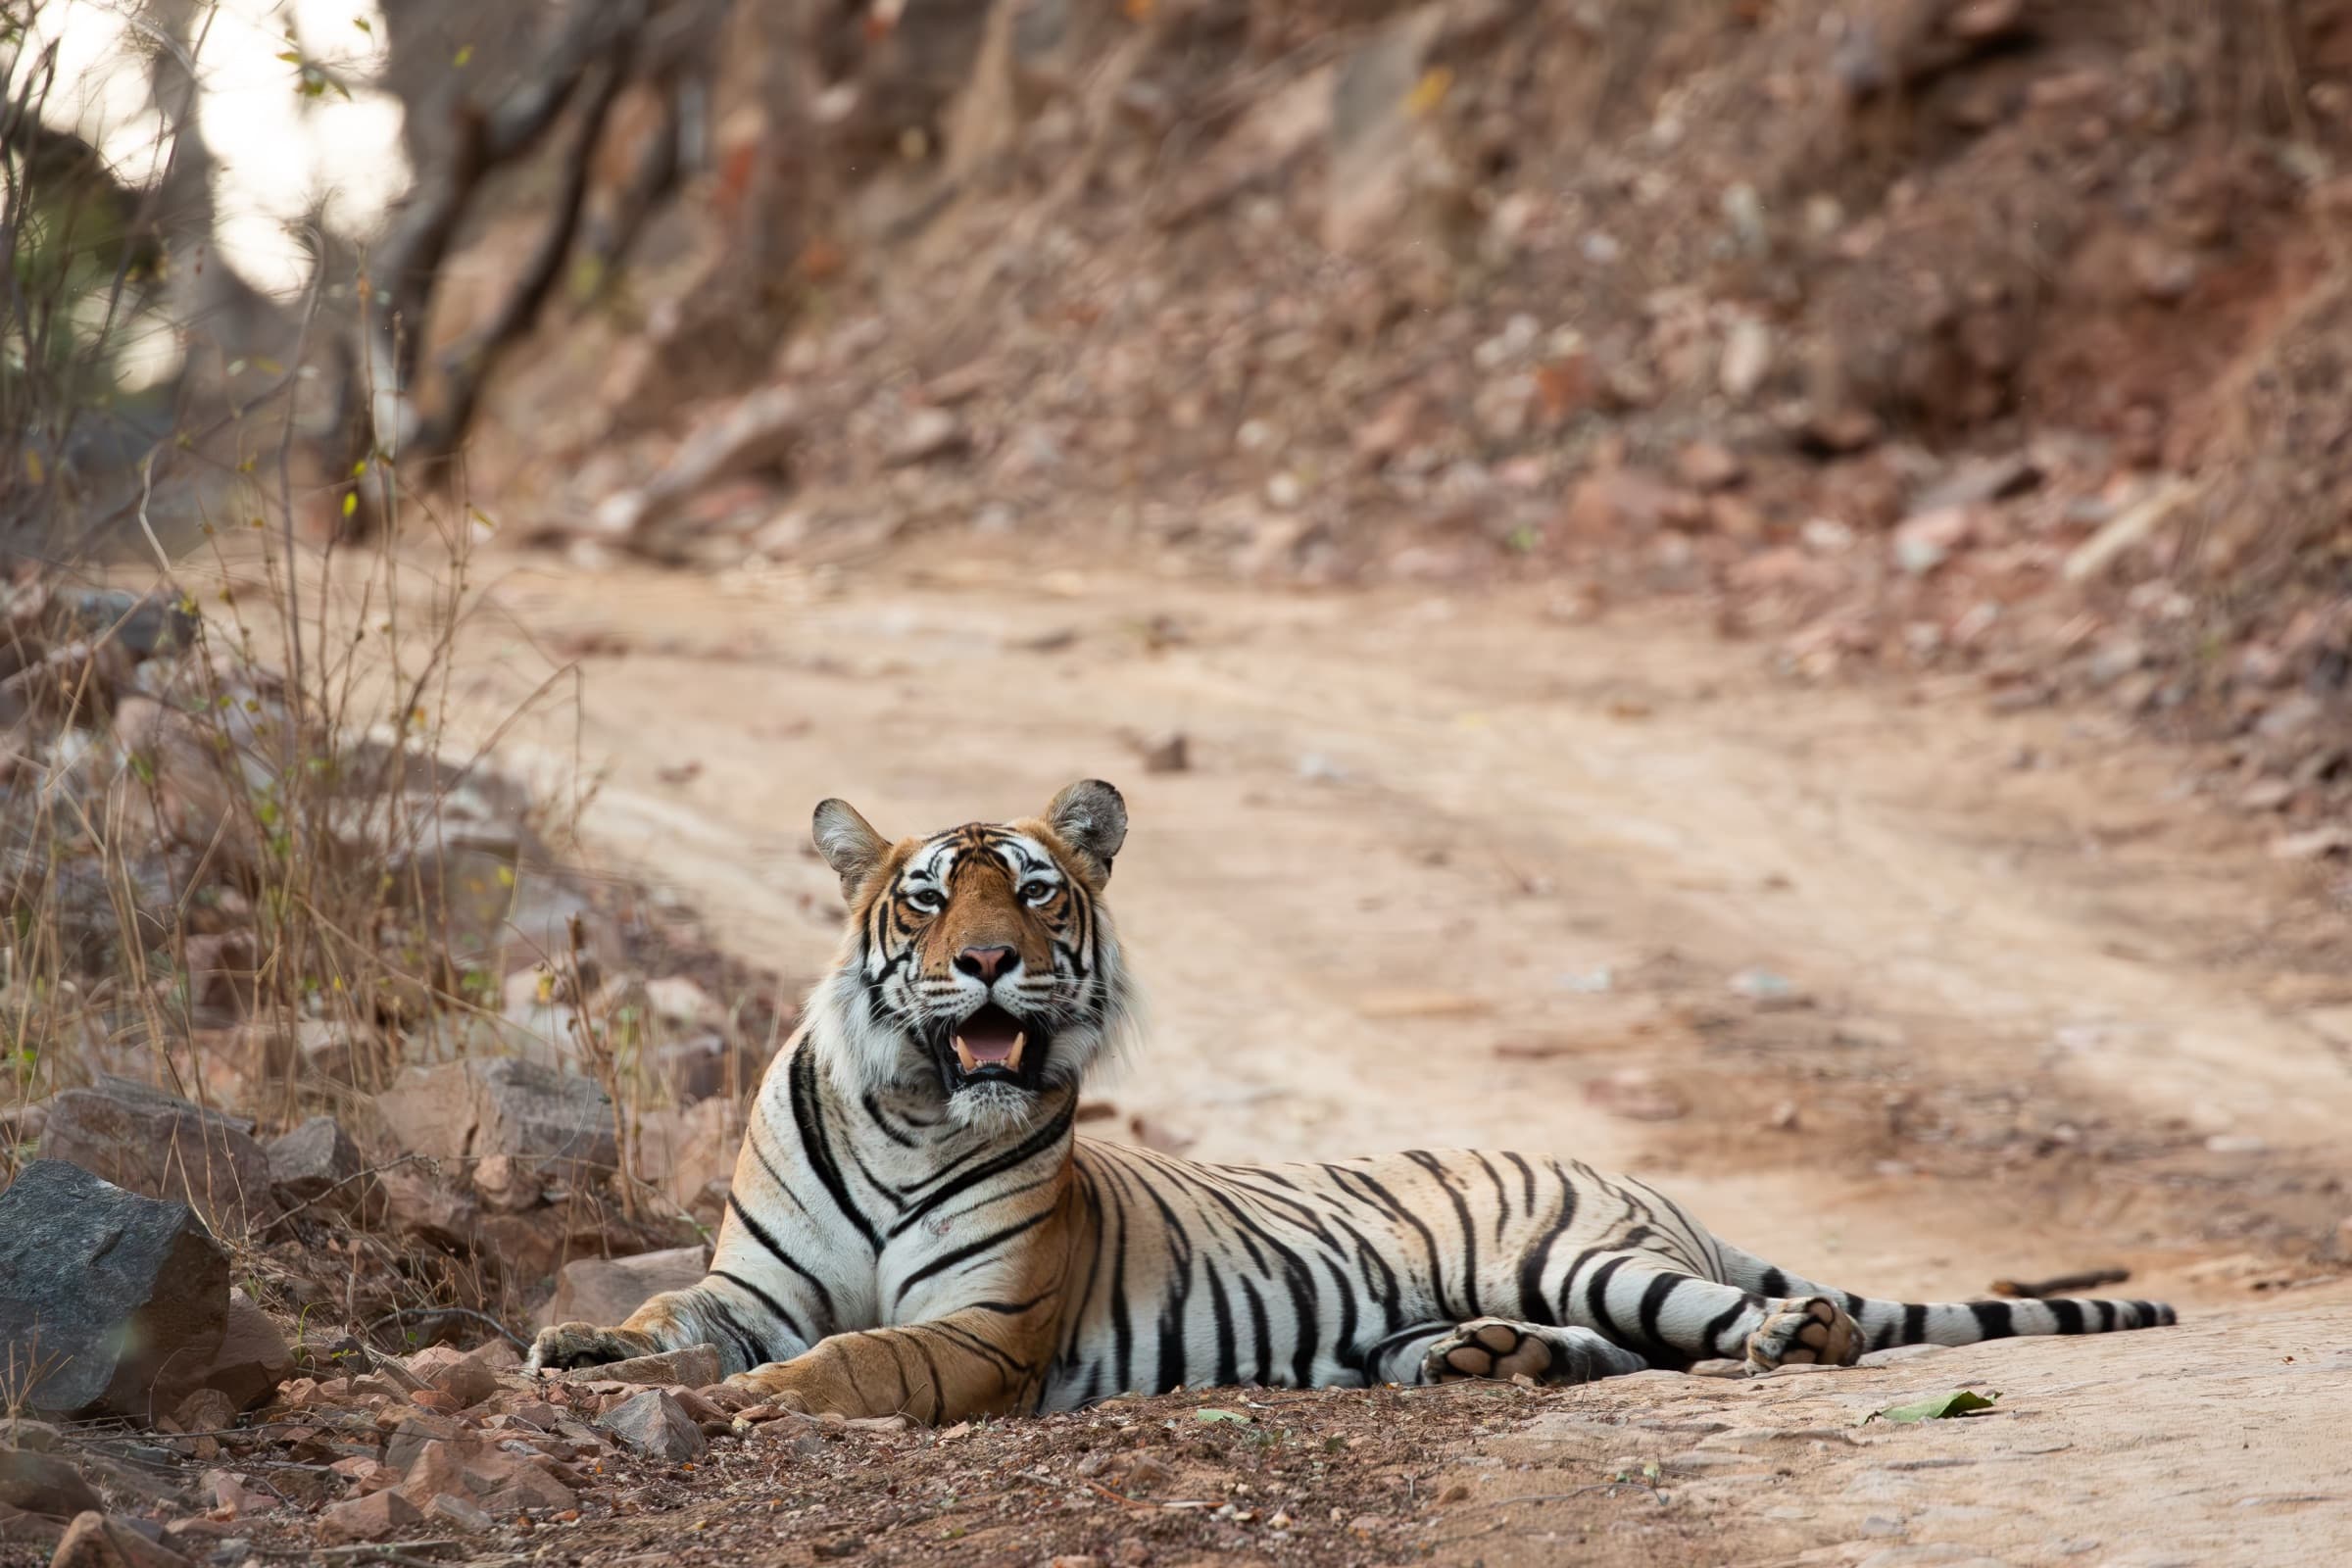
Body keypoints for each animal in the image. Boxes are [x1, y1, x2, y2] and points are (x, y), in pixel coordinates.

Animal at [527, 779, 2176, 1420]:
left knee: (1750, 1320)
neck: (914, 1109)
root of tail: (1640, 1182)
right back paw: (1488, 1359)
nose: (990, 964)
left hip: (1588, 1251)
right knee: (1600, 1353)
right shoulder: (756, 1284)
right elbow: (672, 1315)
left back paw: (1778, 1335)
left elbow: (859, 1359)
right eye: (928, 899)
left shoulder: (983, 1330)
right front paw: (577, 1345)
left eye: (1037, 892)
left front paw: (756, 1402)